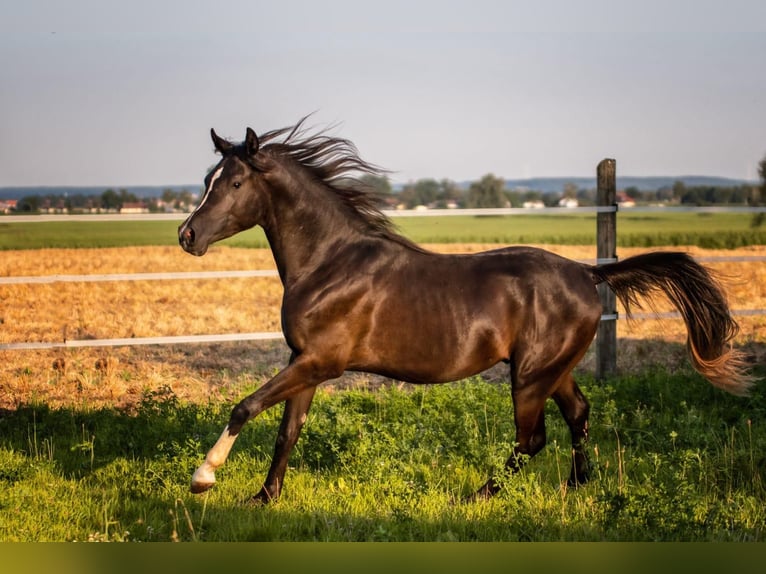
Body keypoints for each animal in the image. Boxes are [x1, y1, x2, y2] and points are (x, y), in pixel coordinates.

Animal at [180, 117, 756, 504]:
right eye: (208, 178)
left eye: (234, 183)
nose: (187, 235)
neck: (331, 262)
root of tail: (587, 273)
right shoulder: (306, 363)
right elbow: (287, 430)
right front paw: (263, 498)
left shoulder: (320, 361)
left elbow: (245, 407)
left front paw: (203, 478)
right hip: (554, 369)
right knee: (578, 414)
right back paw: (574, 488)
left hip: (530, 375)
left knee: (533, 437)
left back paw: (479, 495)